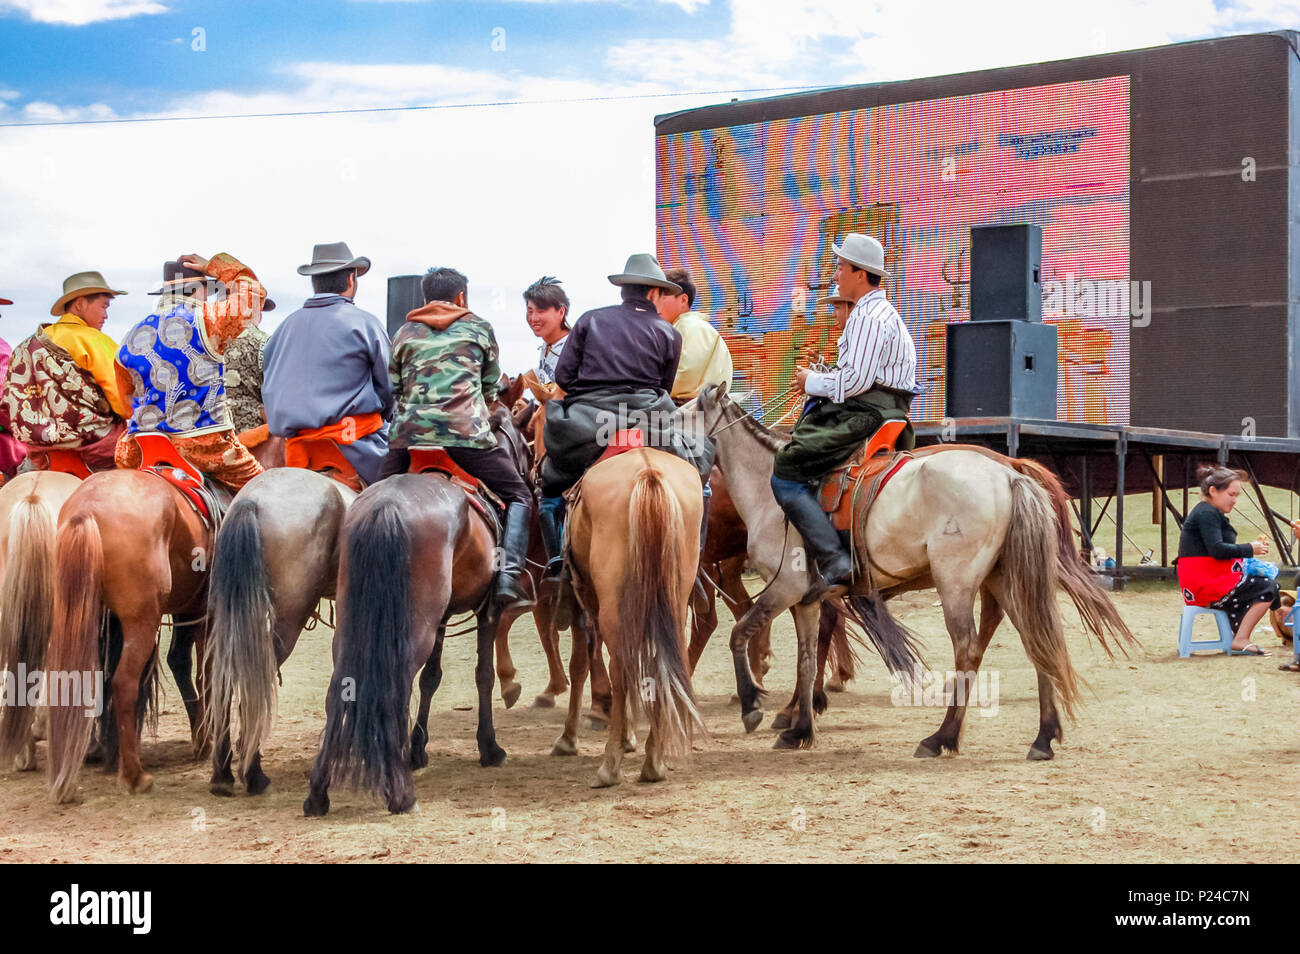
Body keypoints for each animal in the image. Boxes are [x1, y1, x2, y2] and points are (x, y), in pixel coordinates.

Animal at [302, 470, 501, 816]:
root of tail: (386, 507)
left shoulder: (443, 618)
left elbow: (431, 678)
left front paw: (418, 748)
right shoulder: (488, 609)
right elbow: (484, 675)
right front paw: (488, 746)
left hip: (354, 628)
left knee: (339, 690)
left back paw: (318, 794)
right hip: (416, 629)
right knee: (397, 688)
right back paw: (401, 795)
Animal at [548, 452, 712, 790]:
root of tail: (648, 473)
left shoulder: (585, 601)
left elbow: (581, 663)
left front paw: (569, 738)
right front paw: (631, 737)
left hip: (613, 606)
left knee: (621, 670)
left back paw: (609, 767)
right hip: (673, 601)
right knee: (666, 662)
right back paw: (654, 761)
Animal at [691, 384, 1128, 759]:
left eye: (686, 412)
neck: (768, 492)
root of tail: (1008, 474)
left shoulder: (785, 586)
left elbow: (739, 632)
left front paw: (753, 704)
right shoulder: (804, 598)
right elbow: (806, 657)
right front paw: (799, 728)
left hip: (956, 583)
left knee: (969, 648)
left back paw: (942, 737)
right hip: (1005, 579)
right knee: (1036, 638)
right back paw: (1043, 736)